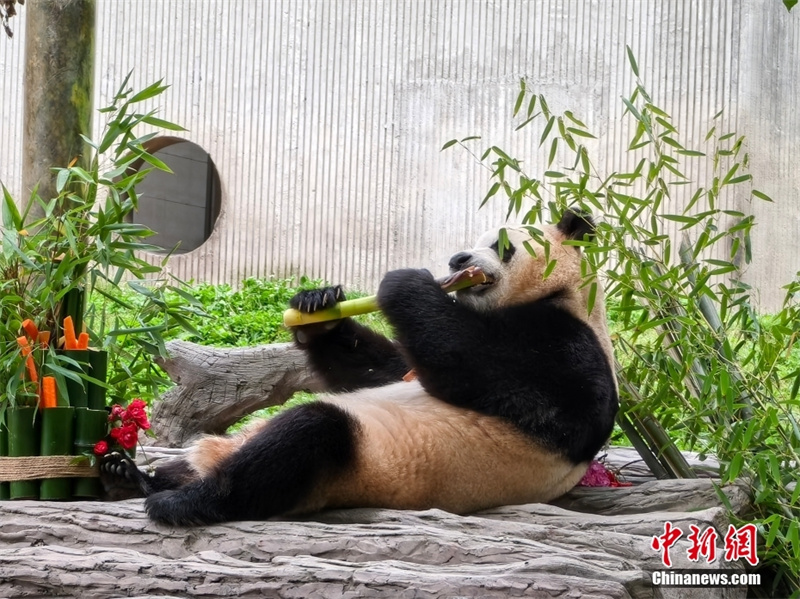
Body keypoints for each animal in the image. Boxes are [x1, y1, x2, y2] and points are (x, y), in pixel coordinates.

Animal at [100, 209, 619, 526]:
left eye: (502, 244)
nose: (458, 259)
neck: (562, 294)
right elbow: (384, 369)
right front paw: (317, 306)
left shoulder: (569, 344)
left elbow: (485, 372)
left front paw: (404, 281)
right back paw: (127, 473)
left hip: (360, 465)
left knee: (302, 439)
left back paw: (179, 500)